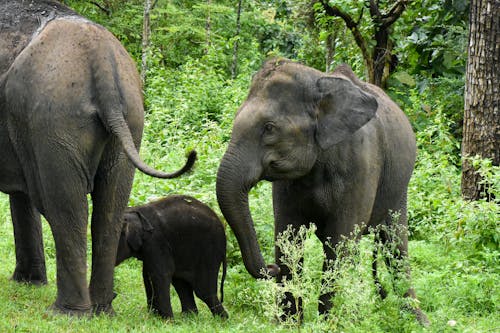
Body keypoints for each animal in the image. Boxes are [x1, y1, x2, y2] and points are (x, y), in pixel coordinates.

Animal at [0, 0, 195, 316]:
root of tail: (100, 58)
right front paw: (28, 283)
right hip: (130, 119)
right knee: (109, 207)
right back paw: (102, 308)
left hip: (54, 122)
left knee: (65, 207)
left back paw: (67, 312)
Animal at [217, 58, 428, 322]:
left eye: (269, 128)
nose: (270, 268)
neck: (319, 82)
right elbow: (288, 236)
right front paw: (288, 323)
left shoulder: (361, 165)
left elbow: (339, 241)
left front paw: (326, 322)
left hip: (399, 185)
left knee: (394, 245)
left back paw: (416, 320)